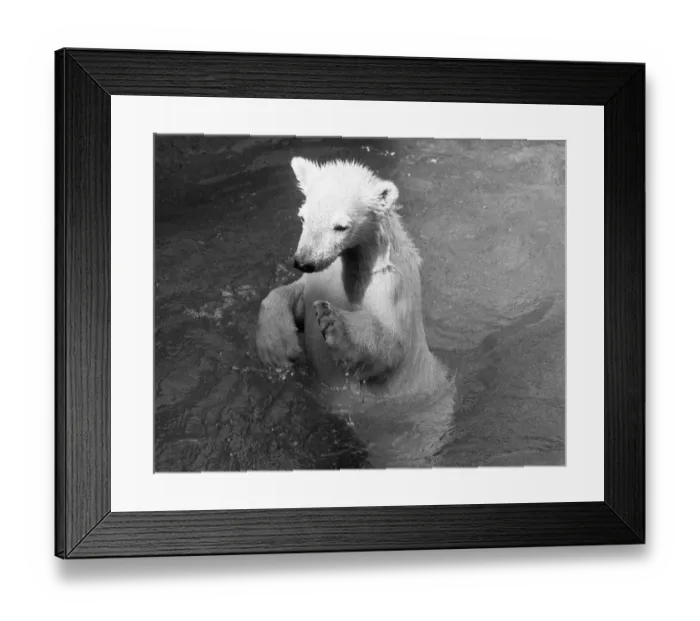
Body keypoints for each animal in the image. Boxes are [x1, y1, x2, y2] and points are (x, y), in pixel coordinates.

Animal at [256, 156, 451, 403]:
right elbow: (291, 297)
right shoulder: (321, 280)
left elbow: (391, 345)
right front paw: (277, 347)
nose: (304, 261)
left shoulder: (389, 286)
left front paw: (332, 319)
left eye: (340, 226)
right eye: (303, 217)